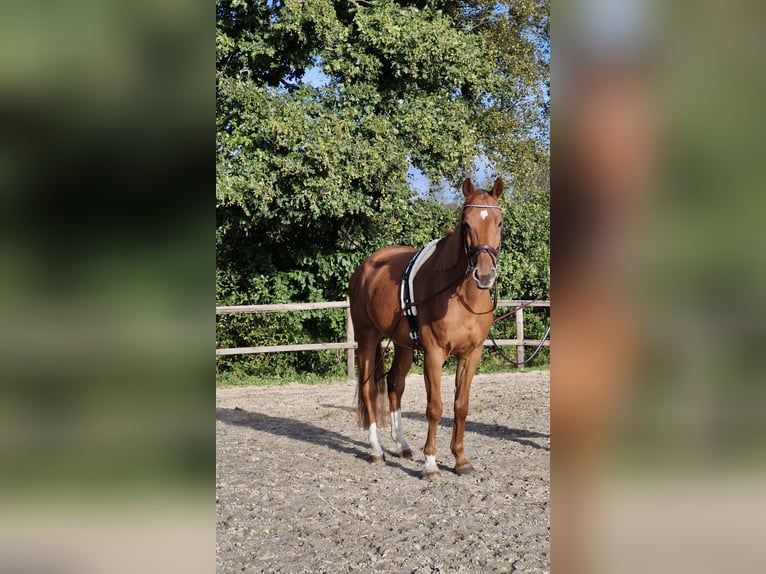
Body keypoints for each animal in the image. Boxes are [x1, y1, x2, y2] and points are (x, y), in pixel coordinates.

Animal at [350, 178, 504, 480]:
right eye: (466, 224)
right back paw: (376, 450)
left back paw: (402, 445)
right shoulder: (434, 354)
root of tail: (364, 268)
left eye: (499, 222)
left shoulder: (471, 355)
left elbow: (460, 406)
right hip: (367, 338)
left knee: (394, 385)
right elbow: (435, 408)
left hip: (403, 345)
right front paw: (431, 464)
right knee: (368, 389)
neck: (461, 296)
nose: (484, 275)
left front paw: (460, 460)